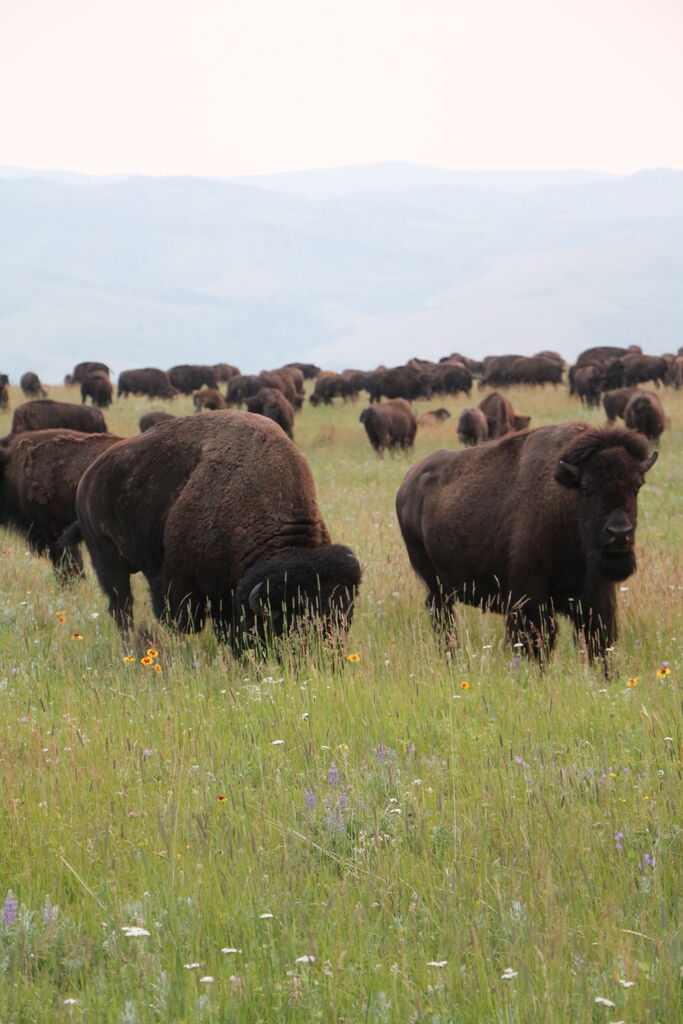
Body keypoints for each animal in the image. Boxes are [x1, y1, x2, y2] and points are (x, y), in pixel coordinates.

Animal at [70, 409, 362, 643]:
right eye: (288, 620)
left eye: (345, 616)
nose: (329, 654)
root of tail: (89, 477)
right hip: (107, 559)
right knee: (121, 606)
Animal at [397, 421, 659, 663]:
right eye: (586, 487)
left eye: (637, 485)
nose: (619, 533)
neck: (565, 503)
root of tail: (408, 483)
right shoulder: (529, 600)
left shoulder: (595, 599)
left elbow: (599, 645)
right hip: (435, 586)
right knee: (442, 619)